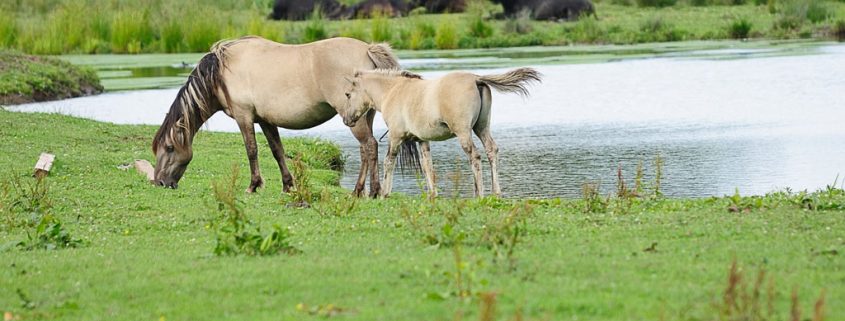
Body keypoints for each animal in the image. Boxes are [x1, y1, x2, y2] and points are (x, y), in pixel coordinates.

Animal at [152, 36, 416, 196]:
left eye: (169, 148)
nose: (160, 182)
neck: (222, 72)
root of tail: (367, 49)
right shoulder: (266, 121)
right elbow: (277, 151)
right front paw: (288, 185)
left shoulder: (244, 117)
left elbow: (251, 150)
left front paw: (253, 186)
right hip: (362, 115)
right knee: (364, 149)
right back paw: (359, 191)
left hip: (355, 118)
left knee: (369, 146)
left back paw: (371, 191)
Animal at [342, 68, 540, 195]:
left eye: (348, 94)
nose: (346, 120)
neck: (393, 91)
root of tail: (476, 79)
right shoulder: (421, 140)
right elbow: (427, 166)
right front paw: (433, 195)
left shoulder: (395, 136)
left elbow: (389, 162)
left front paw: (384, 193)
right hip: (481, 127)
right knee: (492, 150)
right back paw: (496, 192)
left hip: (463, 132)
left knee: (475, 156)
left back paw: (479, 194)